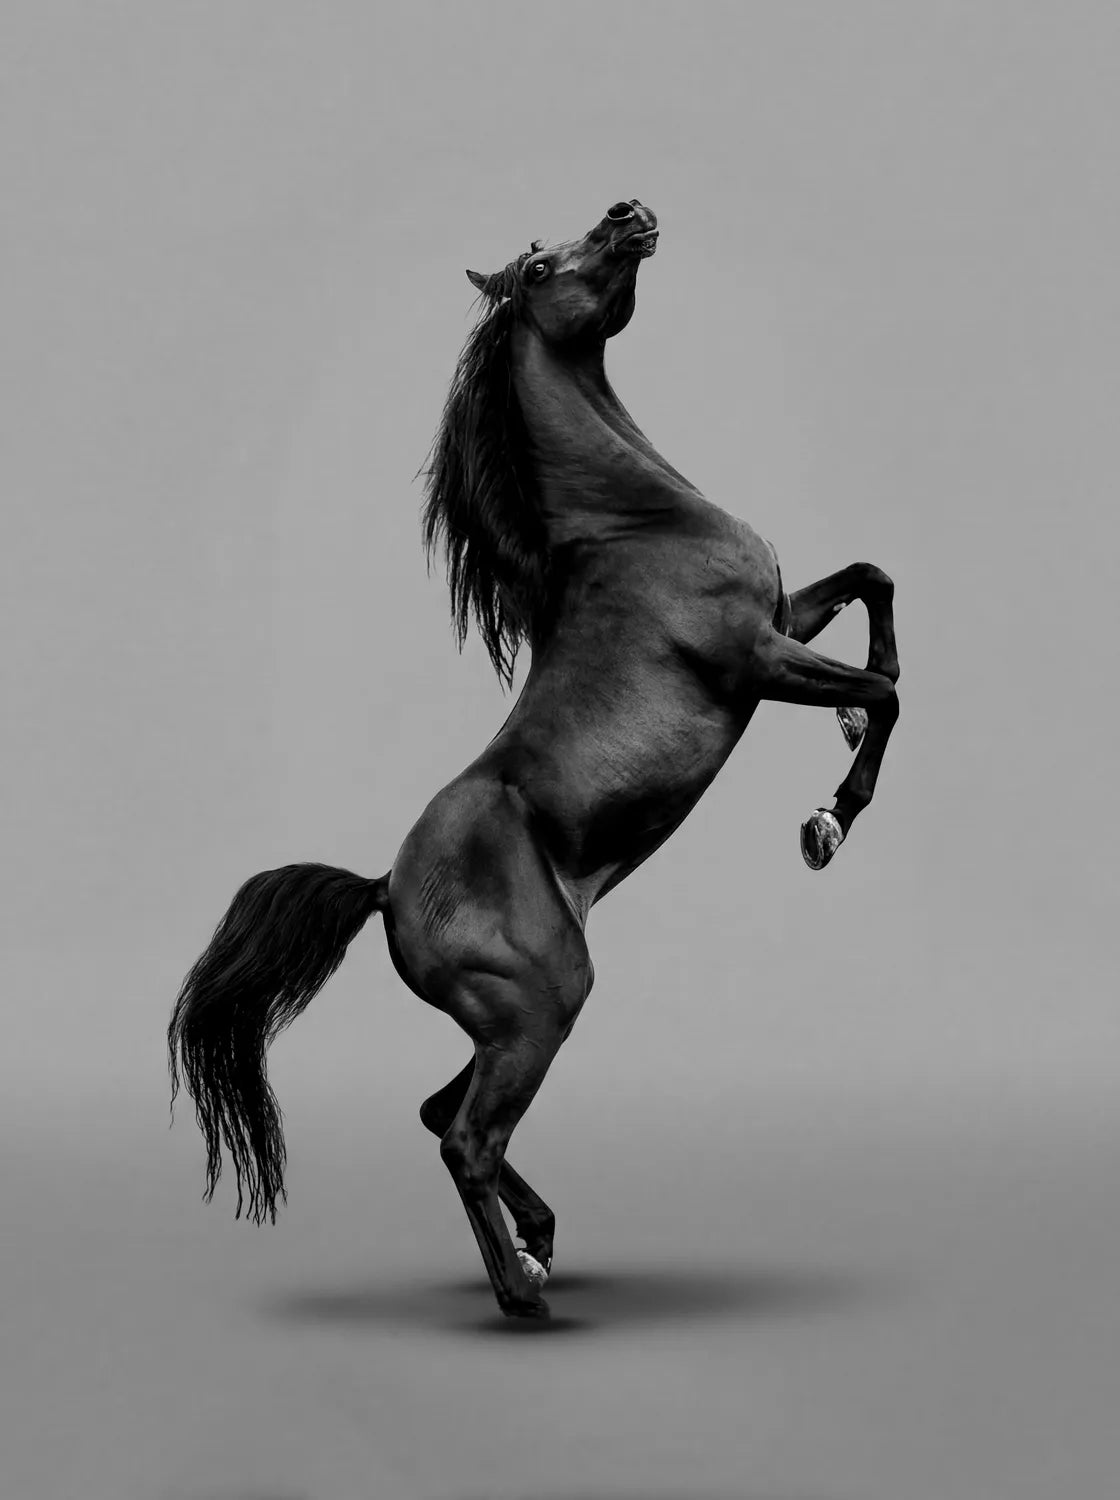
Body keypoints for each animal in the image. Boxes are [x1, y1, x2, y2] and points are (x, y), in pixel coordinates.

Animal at [168, 199, 900, 1321]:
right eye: (544, 265)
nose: (627, 212)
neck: (636, 522)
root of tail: (383, 890)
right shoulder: (757, 658)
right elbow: (892, 690)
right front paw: (829, 820)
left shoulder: (787, 618)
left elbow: (872, 578)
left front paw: (848, 731)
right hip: (540, 1008)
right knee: (465, 1136)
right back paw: (523, 1296)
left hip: (509, 1022)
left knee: (440, 1113)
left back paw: (542, 1244)